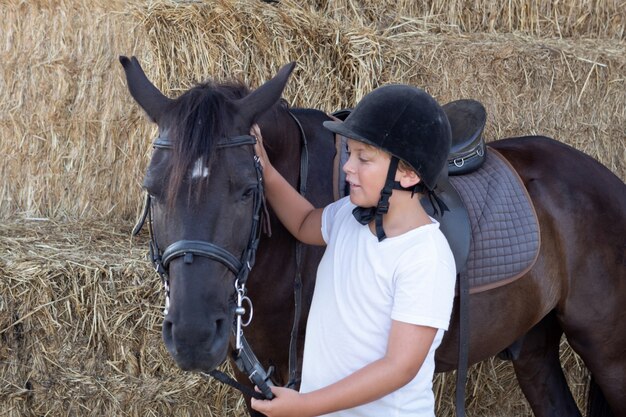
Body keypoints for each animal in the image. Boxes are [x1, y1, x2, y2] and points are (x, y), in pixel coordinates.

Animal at [120, 56, 624, 416]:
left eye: (246, 189)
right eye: (152, 189)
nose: (192, 334)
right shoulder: (257, 387)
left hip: (608, 352)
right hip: (534, 346)